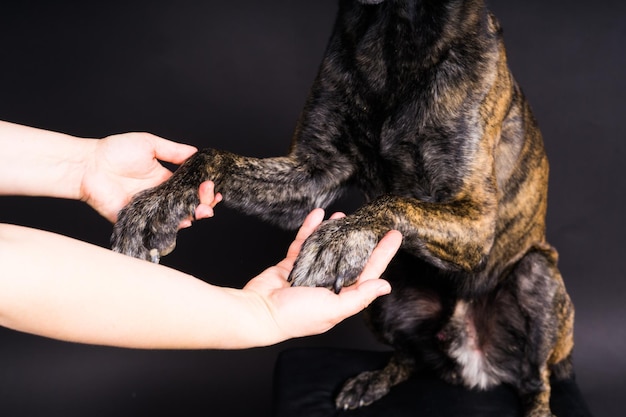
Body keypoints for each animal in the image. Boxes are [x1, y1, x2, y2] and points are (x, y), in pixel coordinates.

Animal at [111, 1, 572, 414]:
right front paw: (157, 204)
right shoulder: (311, 176)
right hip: (389, 290)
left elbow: (394, 200)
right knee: (410, 357)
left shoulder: (476, 218)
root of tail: (471, 368)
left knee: (536, 380)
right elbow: (211, 156)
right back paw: (371, 383)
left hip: (538, 277)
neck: (395, 34)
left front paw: (335, 241)